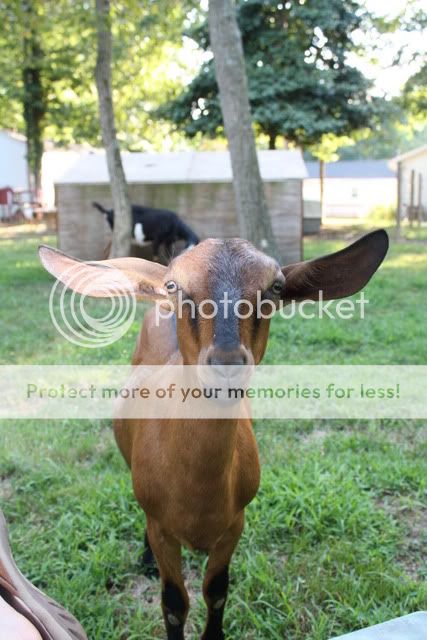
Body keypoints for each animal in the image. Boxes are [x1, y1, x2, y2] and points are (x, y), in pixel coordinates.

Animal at [39, 229, 388, 640]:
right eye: (174, 284)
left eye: (275, 287)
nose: (227, 364)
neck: (198, 497)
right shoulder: (161, 527)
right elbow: (174, 602)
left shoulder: (235, 523)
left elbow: (216, 590)